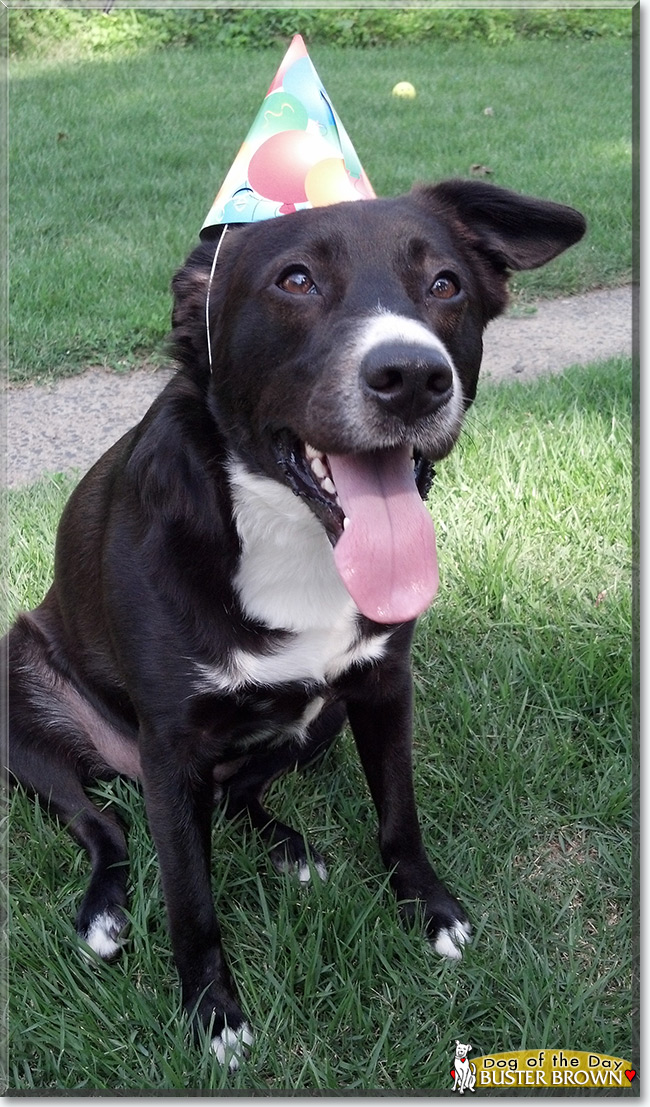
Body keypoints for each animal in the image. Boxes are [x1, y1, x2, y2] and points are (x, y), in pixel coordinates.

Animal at [3, 177, 584, 1067]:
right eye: (296, 280)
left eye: (445, 283)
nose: (413, 376)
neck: (290, 530)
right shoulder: (170, 746)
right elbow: (191, 902)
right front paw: (214, 1013)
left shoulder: (382, 686)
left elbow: (399, 814)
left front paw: (429, 907)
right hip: (23, 702)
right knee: (104, 822)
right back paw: (104, 909)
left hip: (318, 714)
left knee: (236, 792)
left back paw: (288, 848)